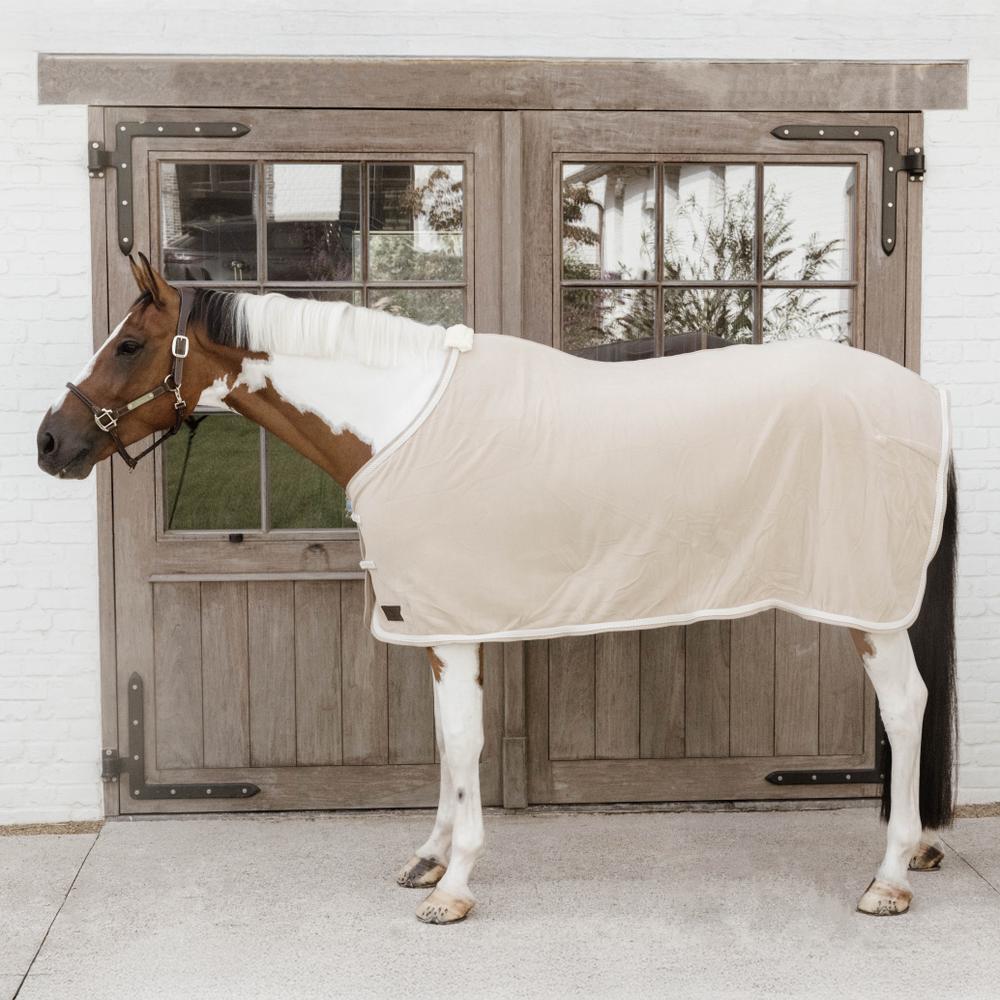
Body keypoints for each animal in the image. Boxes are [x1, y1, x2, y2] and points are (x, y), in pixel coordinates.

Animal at [37, 253, 957, 924]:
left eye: (128, 345)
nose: (51, 440)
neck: (395, 422)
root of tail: (924, 397)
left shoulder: (449, 623)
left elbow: (463, 741)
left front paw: (454, 886)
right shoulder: (433, 622)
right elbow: (448, 747)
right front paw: (429, 857)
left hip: (869, 605)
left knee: (905, 705)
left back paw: (889, 878)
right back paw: (913, 853)